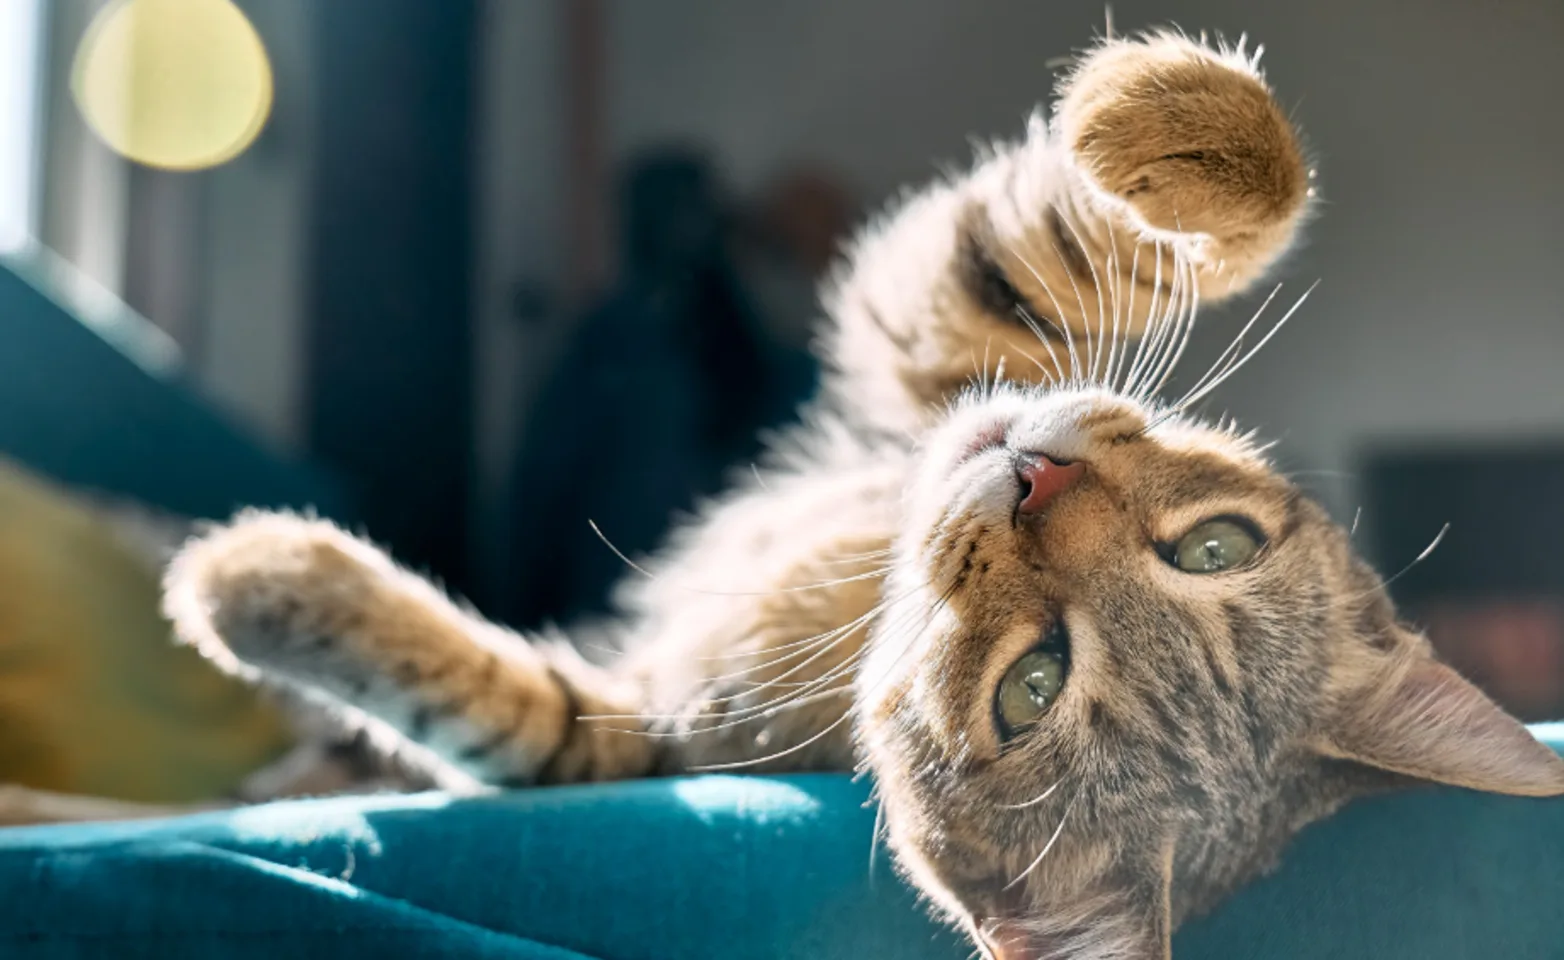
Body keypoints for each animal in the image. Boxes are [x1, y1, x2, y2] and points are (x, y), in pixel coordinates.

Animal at [149, 26, 1564, 960]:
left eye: (1031, 688)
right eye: (1215, 548)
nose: (1036, 476)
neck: (867, 583)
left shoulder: (637, 727)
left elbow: (488, 700)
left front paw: (252, 576)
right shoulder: (958, 361)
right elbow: (1200, 209)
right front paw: (1167, 123)